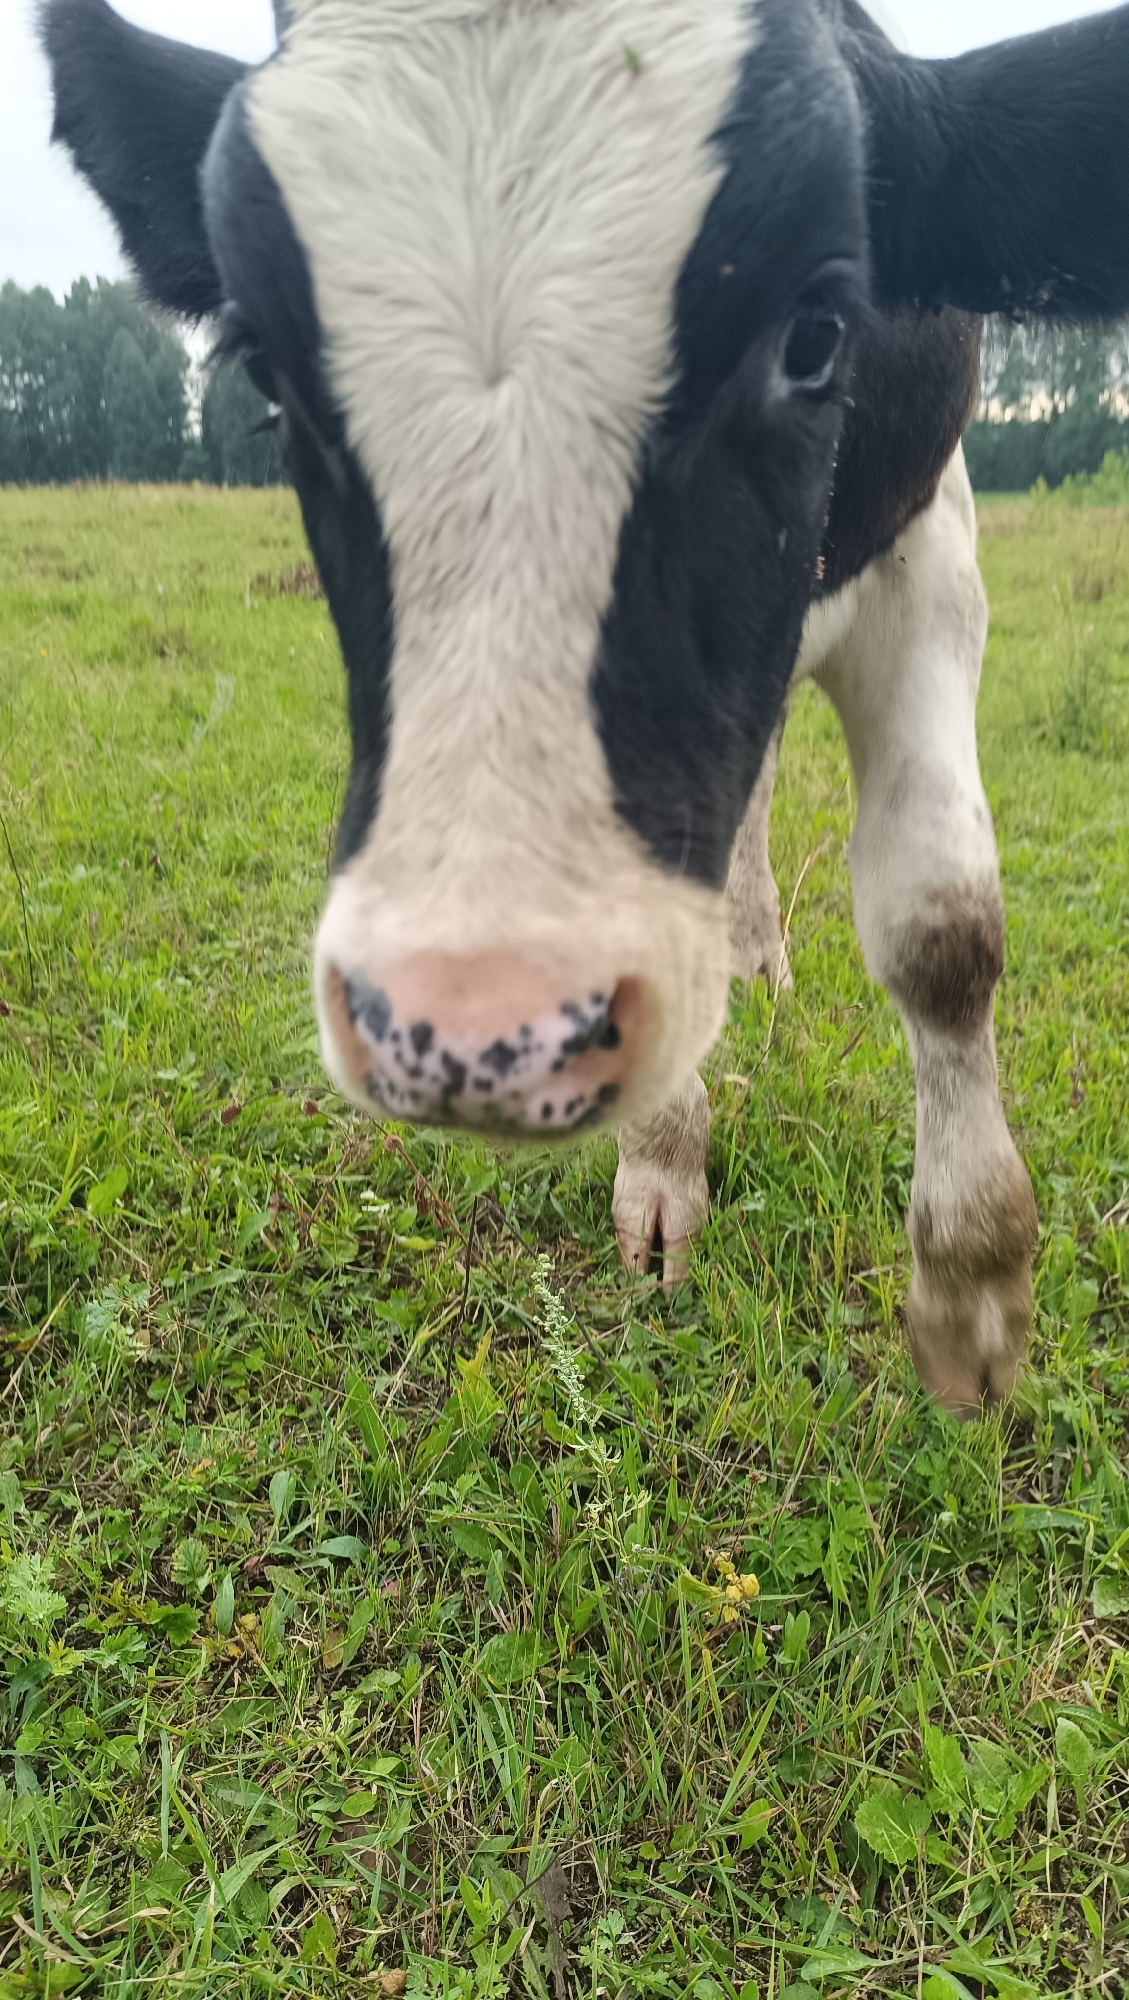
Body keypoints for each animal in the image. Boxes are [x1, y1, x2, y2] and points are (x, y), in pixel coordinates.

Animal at [42, 0, 1129, 1415]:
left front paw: (973, 1283)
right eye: (268, 374)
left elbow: (944, 924)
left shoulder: (932, 552)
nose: (472, 1026)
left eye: (815, 334)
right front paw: (664, 1166)